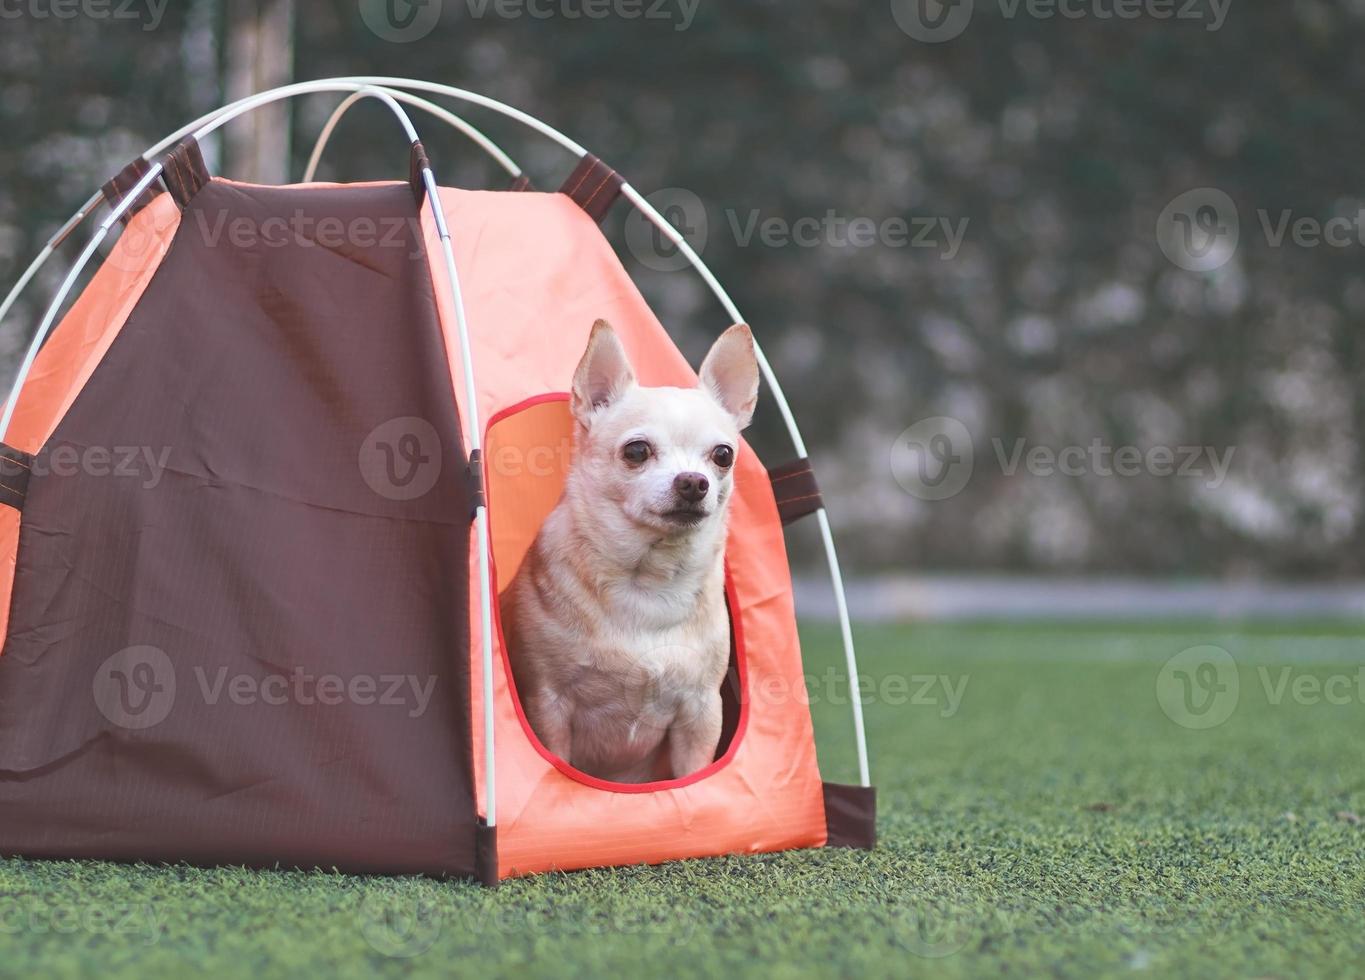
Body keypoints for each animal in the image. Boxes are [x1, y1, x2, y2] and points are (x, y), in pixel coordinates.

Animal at [499, 320, 764, 780]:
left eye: (723, 455)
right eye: (636, 451)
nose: (693, 482)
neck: (649, 578)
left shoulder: (700, 713)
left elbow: (692, 776)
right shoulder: (548, 704)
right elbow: (556, 755)